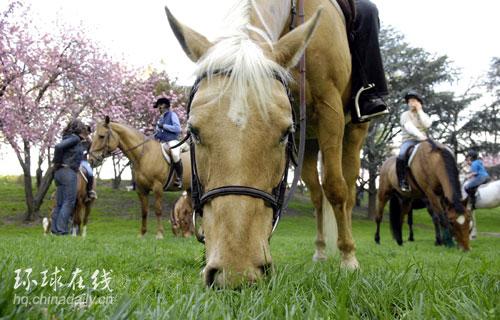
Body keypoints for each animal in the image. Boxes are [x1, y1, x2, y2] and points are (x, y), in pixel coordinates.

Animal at [166, 0, 370, 286]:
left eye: (284, 132)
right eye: (193, 131)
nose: (237, 274)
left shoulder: (331, 112)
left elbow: (336, 189)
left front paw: (349, 260)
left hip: (354, 132)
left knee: (347, 191)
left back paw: (346, 251)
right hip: (309, 145)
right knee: (317, 197)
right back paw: (320, 252)